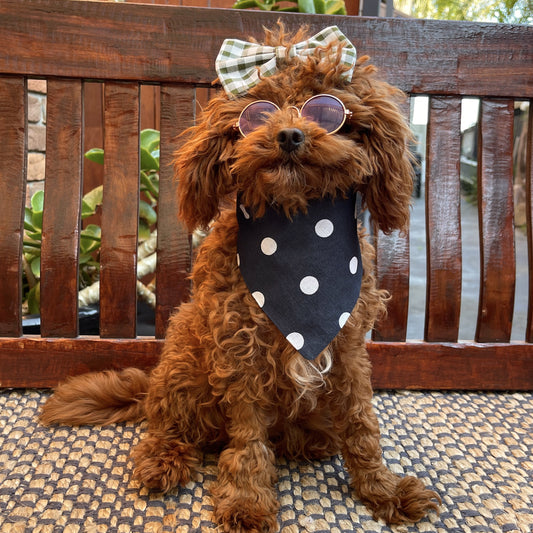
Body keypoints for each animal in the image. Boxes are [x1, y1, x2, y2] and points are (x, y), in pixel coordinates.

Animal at [41, 23, 438, 532]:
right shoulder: (240, 350)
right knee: (166, 423)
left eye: (327, 108)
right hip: (183, 356)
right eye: (258, 113)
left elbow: (362, 424)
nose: (288, 134)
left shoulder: (348, 349)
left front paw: (382, 490)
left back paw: (308, 441)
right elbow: (248, 438)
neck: (298, 230)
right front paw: (248, 500)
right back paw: (163, 460)